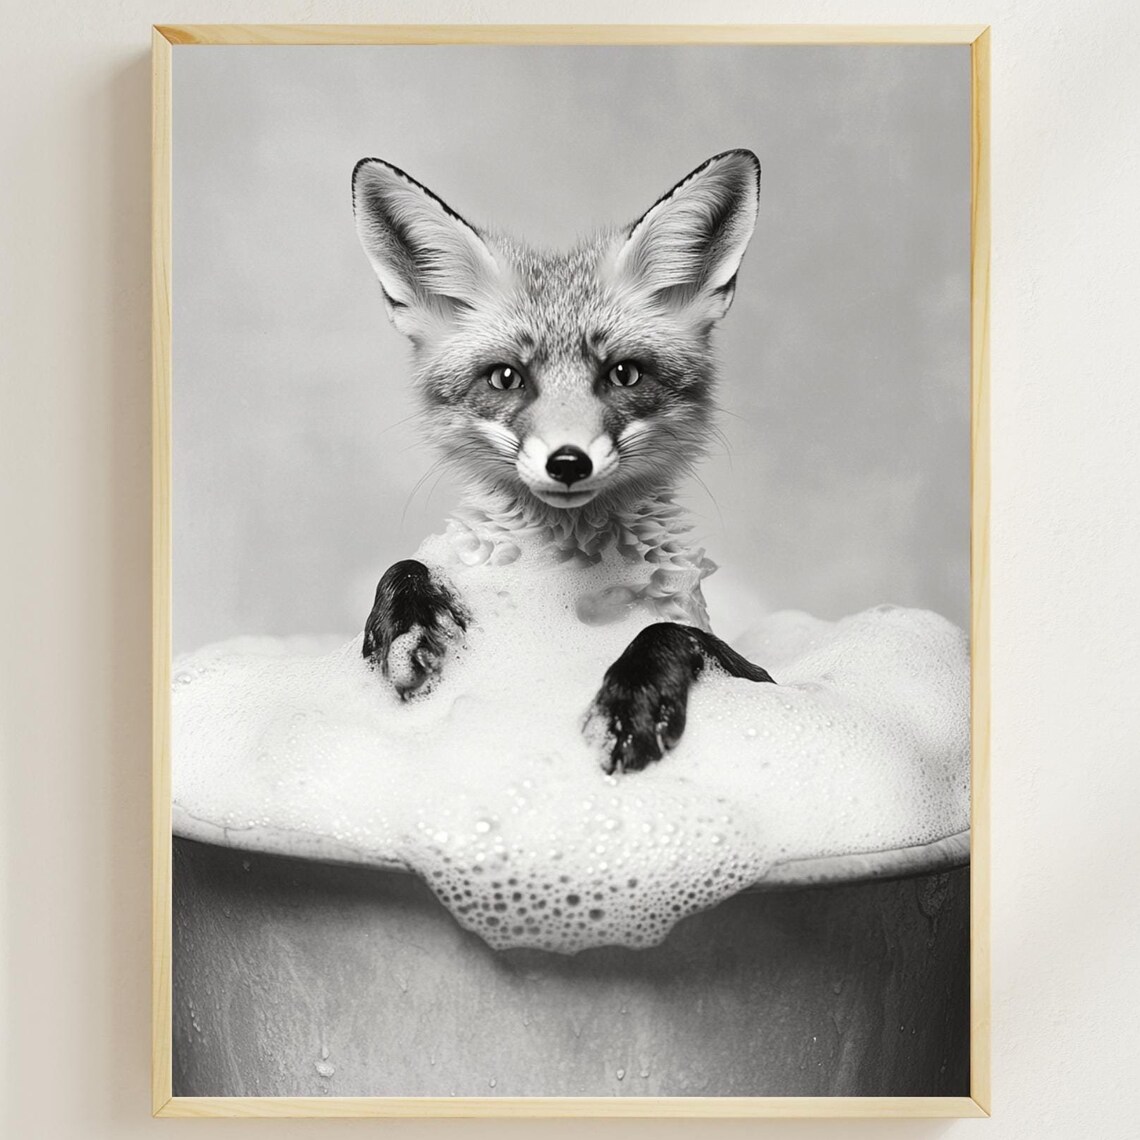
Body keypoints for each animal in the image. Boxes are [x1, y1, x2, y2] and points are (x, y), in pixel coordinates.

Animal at [352, 149, 775, 774]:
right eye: (506, 377)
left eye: (623, 374)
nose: (569, 463)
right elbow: (405, 566)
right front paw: (407, 634)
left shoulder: (767, 680)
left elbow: (674, 631)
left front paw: (630, 702)